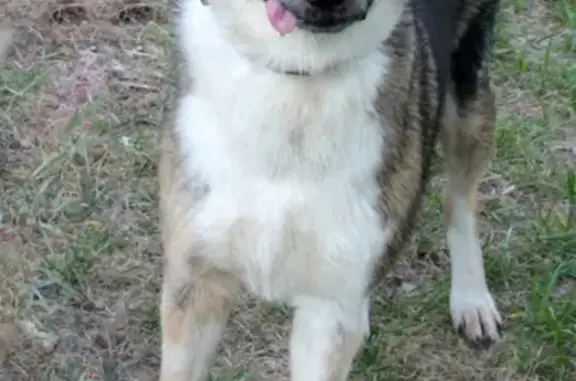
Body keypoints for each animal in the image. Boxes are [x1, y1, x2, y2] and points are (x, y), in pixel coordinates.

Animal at [159, 0, 504, 378]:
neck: (299, 72)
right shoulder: (194, 280)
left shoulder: (328, 310)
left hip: (469, 93)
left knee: (460, 200)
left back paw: (472, 299)